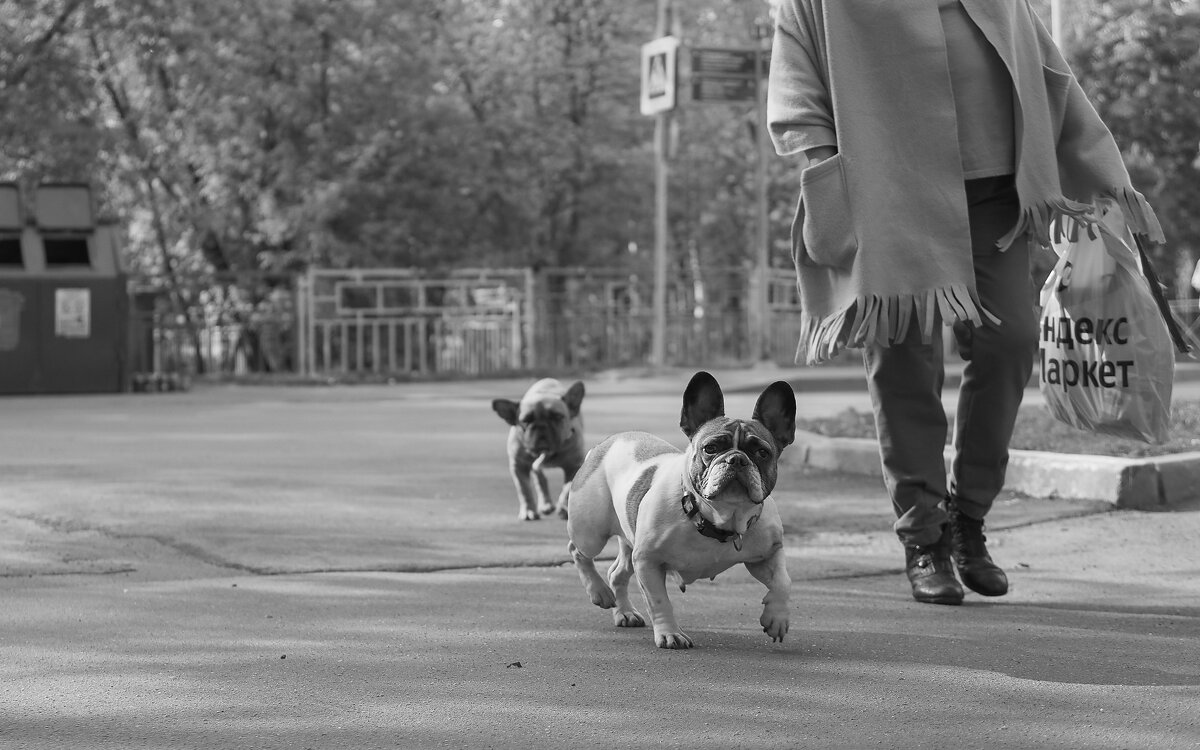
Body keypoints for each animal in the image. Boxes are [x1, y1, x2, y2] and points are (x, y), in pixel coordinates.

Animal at [492, 376, 585, 518]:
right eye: (525, 420)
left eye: (557, 416)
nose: (541, 426)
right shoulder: (518, 466)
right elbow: (524, 490)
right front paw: (528, 510)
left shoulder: (574, 466)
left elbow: (568, 488)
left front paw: (563, 506)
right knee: (539, 479)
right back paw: (545, 504)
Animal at [564, 372, 792, 648]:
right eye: (711, 448)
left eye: (762, 452)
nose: (736, 459)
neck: (720, 518)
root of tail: (606, 443)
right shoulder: (648, 560)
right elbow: (659, 601)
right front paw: (669, 633)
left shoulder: (768, 553)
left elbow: (783, 581)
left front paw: (777, 618)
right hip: (591, 531)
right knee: (578, 552)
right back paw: (599, 592)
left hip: (629, 543)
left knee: (616, 572)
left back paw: (625, 612)